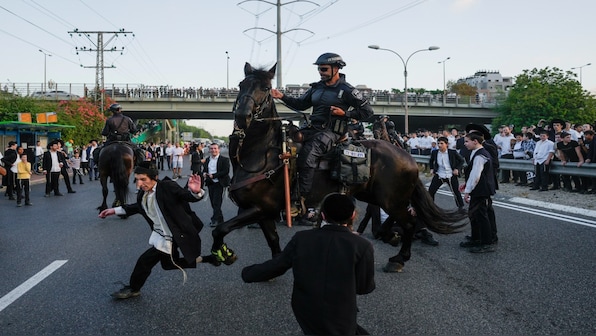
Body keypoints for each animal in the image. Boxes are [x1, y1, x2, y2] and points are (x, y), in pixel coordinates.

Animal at [210, 63, 466, 272]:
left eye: (265, 87)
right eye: (241, 85)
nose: (242, 116)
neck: (261, 154)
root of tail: (406, 155)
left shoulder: (262, 208)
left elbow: (220, 229)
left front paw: (222, 254)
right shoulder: (260, 211)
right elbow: (272, 240)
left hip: (392, 199)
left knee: (410, 221)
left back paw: (398, 257)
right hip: (375, 195)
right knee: (396, 219)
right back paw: (389, 236)